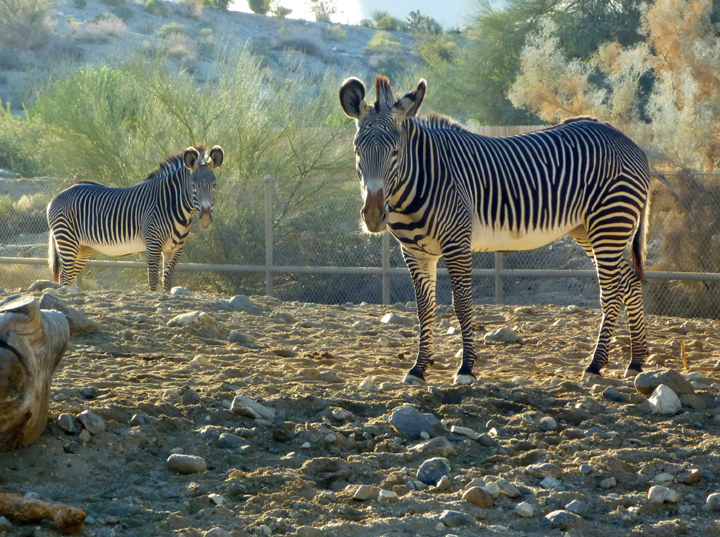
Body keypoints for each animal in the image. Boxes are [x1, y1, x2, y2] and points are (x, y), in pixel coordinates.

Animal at [47, 145, 224, 292]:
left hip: (83, 248)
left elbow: (167, 283)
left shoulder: (174, 250)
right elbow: (152, 281)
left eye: (214, 185)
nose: (206, 220)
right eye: (193, 186)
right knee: (64, 277)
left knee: (68, 277)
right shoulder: (153, 245)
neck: (171, 204)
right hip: (67, 241)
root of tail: (57, 196)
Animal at [339, 75, 651, 385]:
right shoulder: (415, 253)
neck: (420, 180)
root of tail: (628, 140)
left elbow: (462, 304)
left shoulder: (457, 244)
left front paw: (466, 367)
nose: (374, 216)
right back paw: (636, 362)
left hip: (609, 222)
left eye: (395, 152)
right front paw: (419, 367)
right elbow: (424, 309)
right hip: (587, 229)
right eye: (357, 151)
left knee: (611, 290)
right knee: (630, 282)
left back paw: (596, 365)